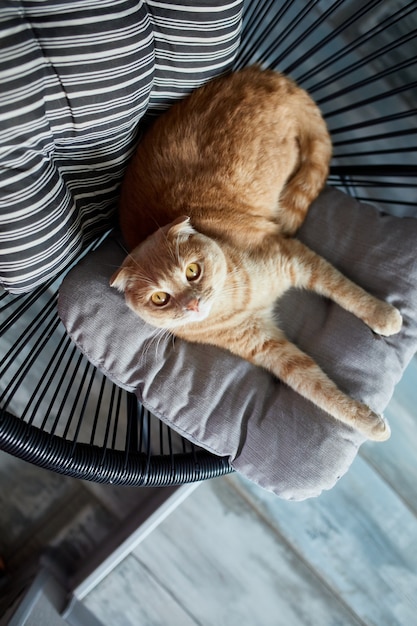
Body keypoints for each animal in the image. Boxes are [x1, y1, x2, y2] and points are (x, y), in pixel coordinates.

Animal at [109, 67, 400, 438]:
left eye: (192, 271)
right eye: (159, 298)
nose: (192, 304)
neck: (237, 299)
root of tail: (267, 75)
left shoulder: (294, 257)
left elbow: (346, 290)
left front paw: (383, 315)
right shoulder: (267, 348)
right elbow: (314, 386)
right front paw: (367, 422)